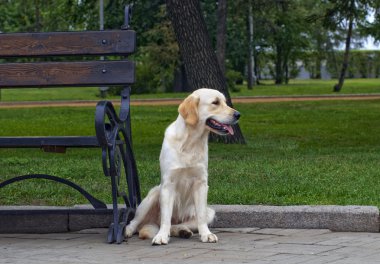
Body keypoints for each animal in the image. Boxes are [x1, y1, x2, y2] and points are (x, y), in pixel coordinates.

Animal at [126, 87, 242, 244]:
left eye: (225, 102)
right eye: (215, 102)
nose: (238, 115)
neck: (190, 142)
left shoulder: (201, 183)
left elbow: (200, 217)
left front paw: (206, 234)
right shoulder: (168, 184)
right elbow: (165, 218)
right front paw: (161, 236)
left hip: (210, 212)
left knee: (178, 224)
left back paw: (183, 231)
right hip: (153, 195)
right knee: (137, 222)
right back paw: (128, 231)